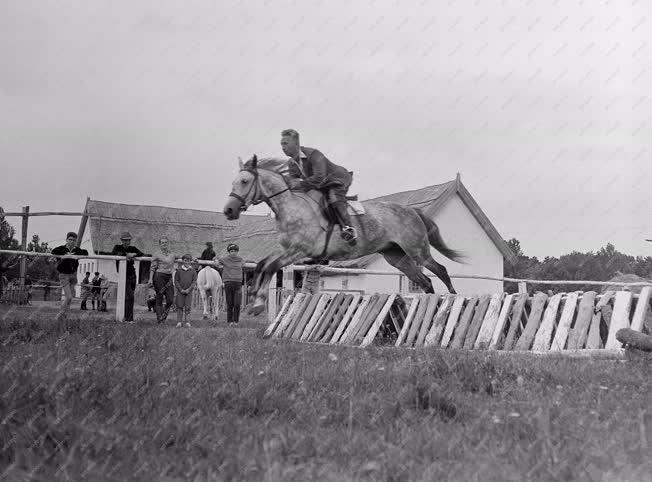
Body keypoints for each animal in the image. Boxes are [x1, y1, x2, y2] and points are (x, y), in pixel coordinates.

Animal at [224, 154, 464, 318]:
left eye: (244, 182)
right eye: (233, 182)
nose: (229, 211)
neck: (291, 207)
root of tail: (412, 211)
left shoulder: (298, 251)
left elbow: (270, 267)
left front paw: (257, 304)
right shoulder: (285, 250)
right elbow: (261, 265)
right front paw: (254, 299)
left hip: (417, 249)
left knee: (440, 270)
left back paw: (453, 298)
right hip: (396, 257)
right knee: (424, 281)